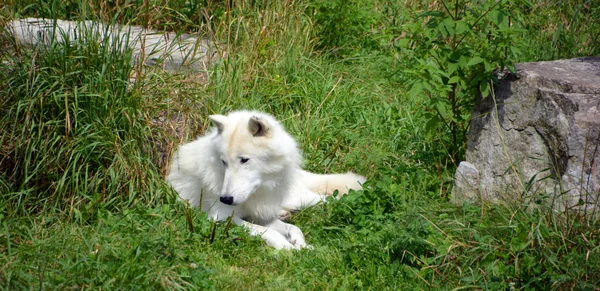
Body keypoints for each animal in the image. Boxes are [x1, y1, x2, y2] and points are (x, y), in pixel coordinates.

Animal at [168, 110, 366, 250]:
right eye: (224, 162)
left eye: (244, 160)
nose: (225, 199)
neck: (257, 193)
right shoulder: (220, 217)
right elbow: (270, 231)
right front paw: (290, 247)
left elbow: (294, 228)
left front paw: (301, 244)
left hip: (297, 198)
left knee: (328, 199)